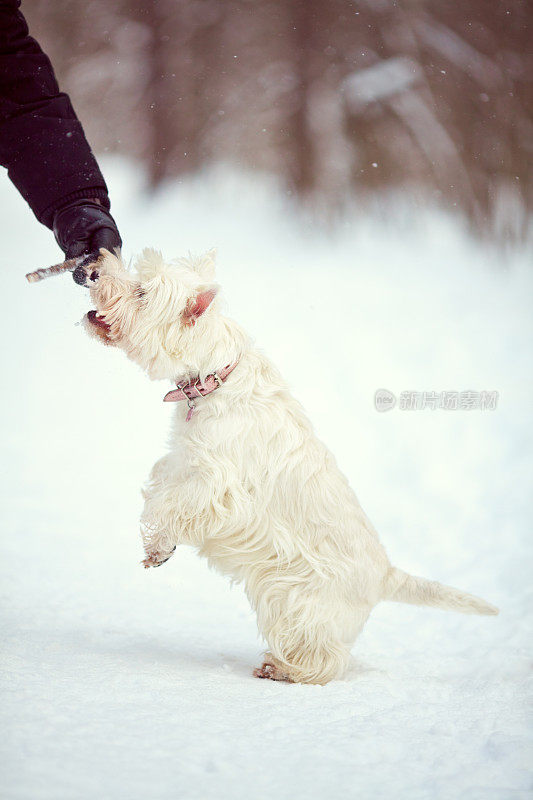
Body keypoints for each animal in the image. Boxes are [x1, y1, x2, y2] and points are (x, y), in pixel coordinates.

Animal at [83, 247, 498, 684]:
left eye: (142, 292)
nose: (92, 269)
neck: (215, 377)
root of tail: (385, 574)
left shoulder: (219, 486)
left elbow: (167, 505)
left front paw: (159, 545)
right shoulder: (184, 461)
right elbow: (161, 490)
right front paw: (158, 546)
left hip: (304, 602)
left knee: (325, 657)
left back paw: (281, 668)